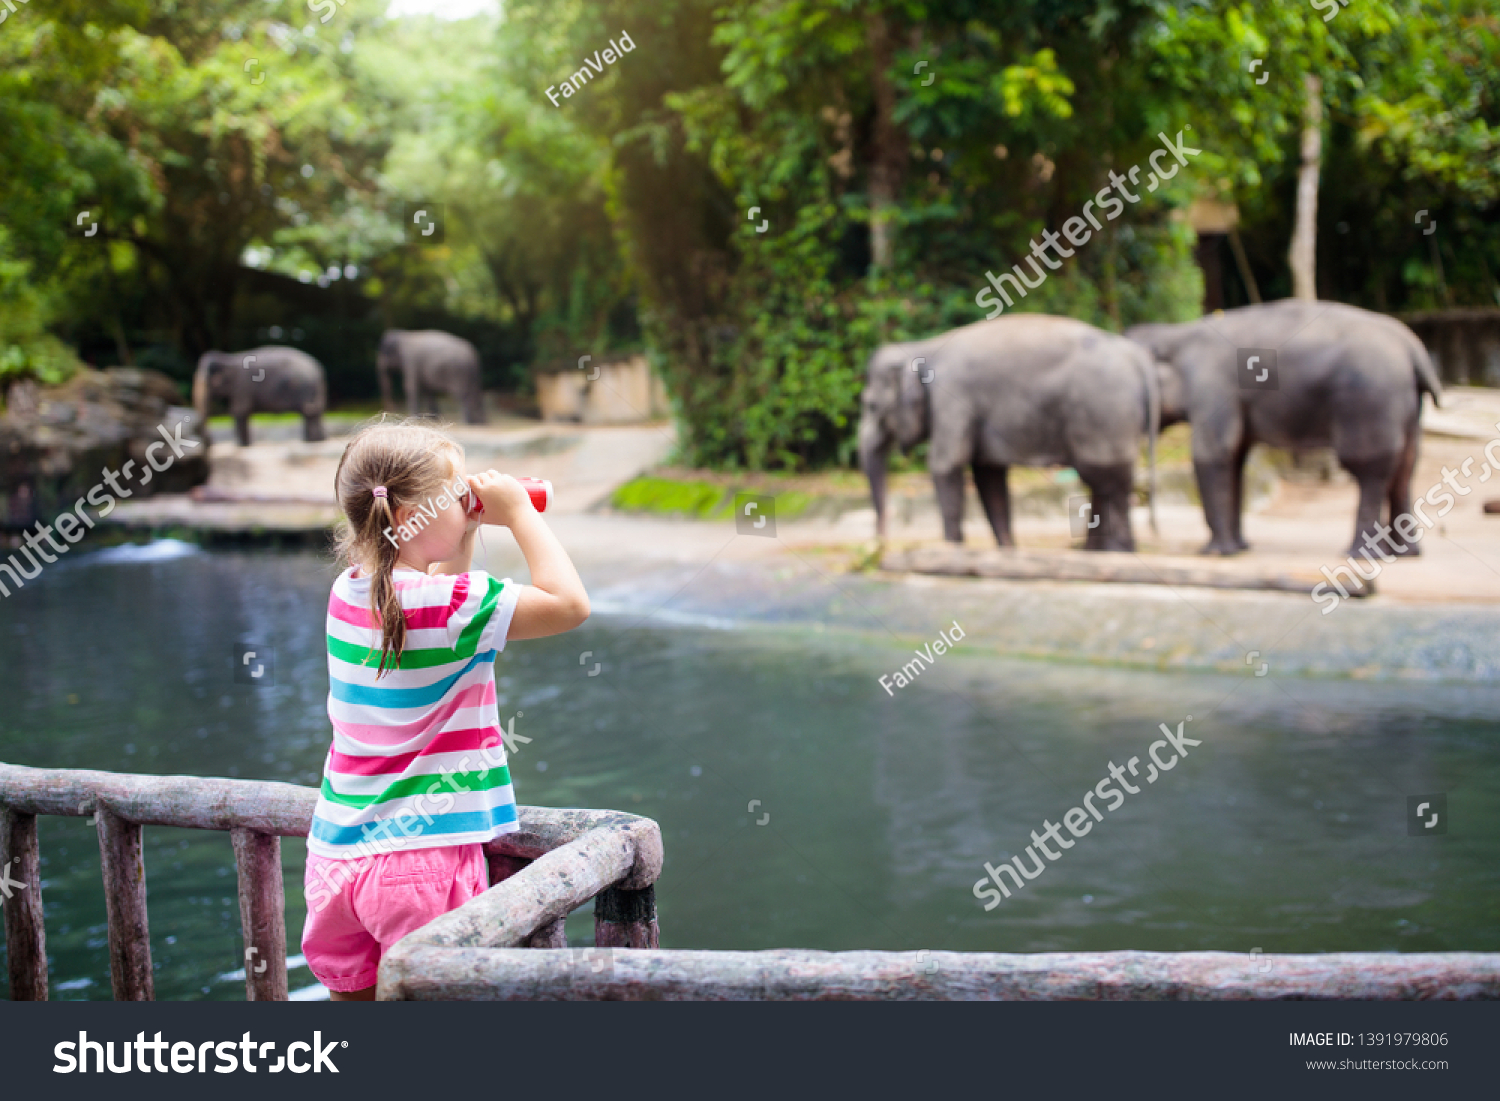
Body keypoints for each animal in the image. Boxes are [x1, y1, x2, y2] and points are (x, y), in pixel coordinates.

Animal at [192, 346, 327, 447]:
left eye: (205, 382)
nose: (211, 443)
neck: (228, 358)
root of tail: (319, 370)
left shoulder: (242, 386)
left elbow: (239, 410)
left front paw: (243, 446)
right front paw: (245, 445)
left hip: (304, 388)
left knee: (309, 412)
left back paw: (312, 441)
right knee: (313, 412)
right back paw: (315, 441)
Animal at [858, 312, 1158, 552]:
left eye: (871, 405)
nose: (880, 544)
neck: (923, 346)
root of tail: (1138, 358)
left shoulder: (951, 400)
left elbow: (946, 465)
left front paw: (952, 549)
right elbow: (988, 476)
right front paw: (1007, 550)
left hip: (1104, 415)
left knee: (1107, 479)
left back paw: (1117, 552)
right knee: (1102, 482)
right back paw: (1094, 552)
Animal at [1128, 300, 1440, 555]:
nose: (1154, 530)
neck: (1176, 334)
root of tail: (1413, 350)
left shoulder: (1212, 387)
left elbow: (1213, 453)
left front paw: (1216, 552)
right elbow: (1236, 458)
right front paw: (1240, 548)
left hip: (1369, 402)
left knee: (1370, 469)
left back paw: (1359, 554)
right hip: (1408, 407)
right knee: (1406, 468)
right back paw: (1405, 553)